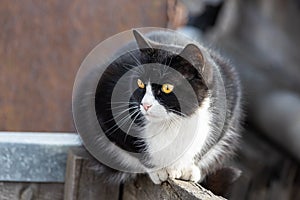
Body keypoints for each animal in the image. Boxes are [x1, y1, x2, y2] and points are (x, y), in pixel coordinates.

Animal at [93, 28, 241, 188]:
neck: (171, 122)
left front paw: (188, 168)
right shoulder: (103, 99)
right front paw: (159, 170)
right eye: (140, 83)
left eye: (167, 87)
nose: (145, 105)